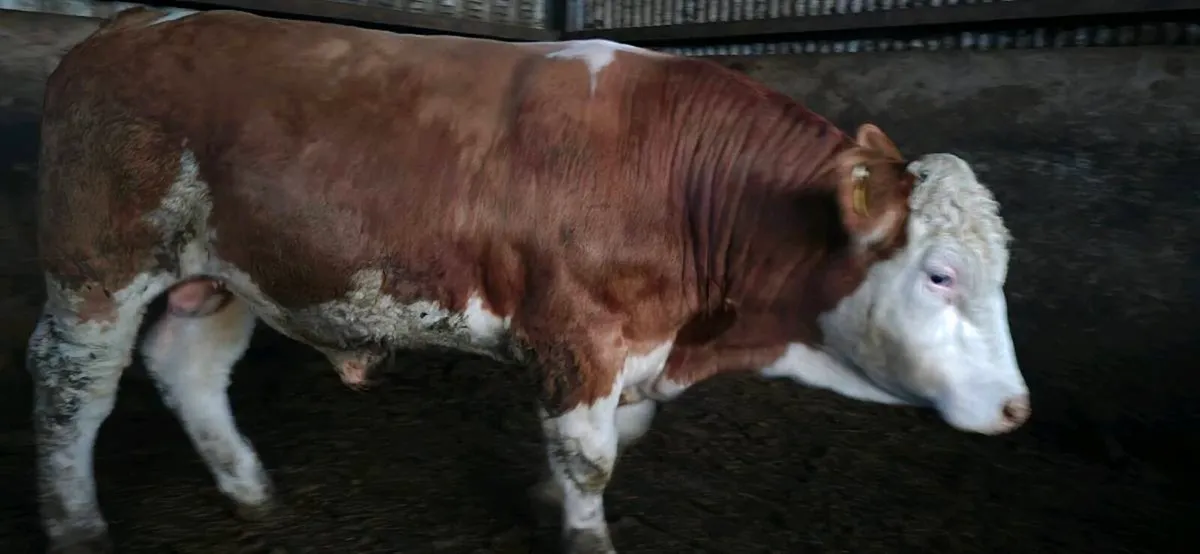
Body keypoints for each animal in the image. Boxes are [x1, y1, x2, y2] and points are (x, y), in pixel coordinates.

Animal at [28, 7, 1028, 554]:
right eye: (940, 274)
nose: (1018, 409)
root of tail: (132, 25)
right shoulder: (574, 338)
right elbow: (593, 455)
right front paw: (585, 534)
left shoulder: (634, 352)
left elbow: (616, 435)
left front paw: (551, 499)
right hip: (97, 270)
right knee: (70, 389)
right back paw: (76, 525)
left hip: (228, 273)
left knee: (188, 365)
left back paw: (248, 490)